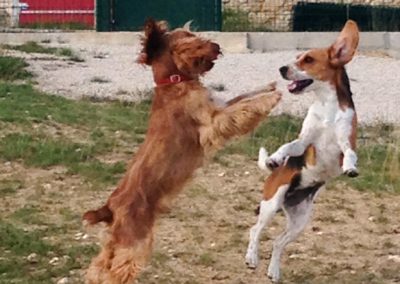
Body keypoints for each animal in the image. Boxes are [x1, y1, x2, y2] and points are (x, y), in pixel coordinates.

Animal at [82, 20, 282, 284]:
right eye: (189, 40)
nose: (217, 46)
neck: (174, 82)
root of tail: (109, 208)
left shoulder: (220, 107)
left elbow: (244, 97)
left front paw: (270, 86)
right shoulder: (214, 122)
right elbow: (245, 107)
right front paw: (274, 96)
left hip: (115, 242)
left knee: (96, 267)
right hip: (135, 242)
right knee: (116, 272)